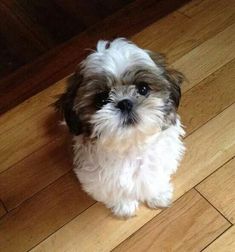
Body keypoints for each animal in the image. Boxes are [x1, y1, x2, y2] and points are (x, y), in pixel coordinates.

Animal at [56, 38, 185, 218]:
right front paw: (124, 206)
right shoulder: (96, 178)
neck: (130, 145)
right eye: (101, 99)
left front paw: (158, 195)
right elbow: (112, 191)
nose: (125, 103)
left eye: (143, 88)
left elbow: (155, 177)